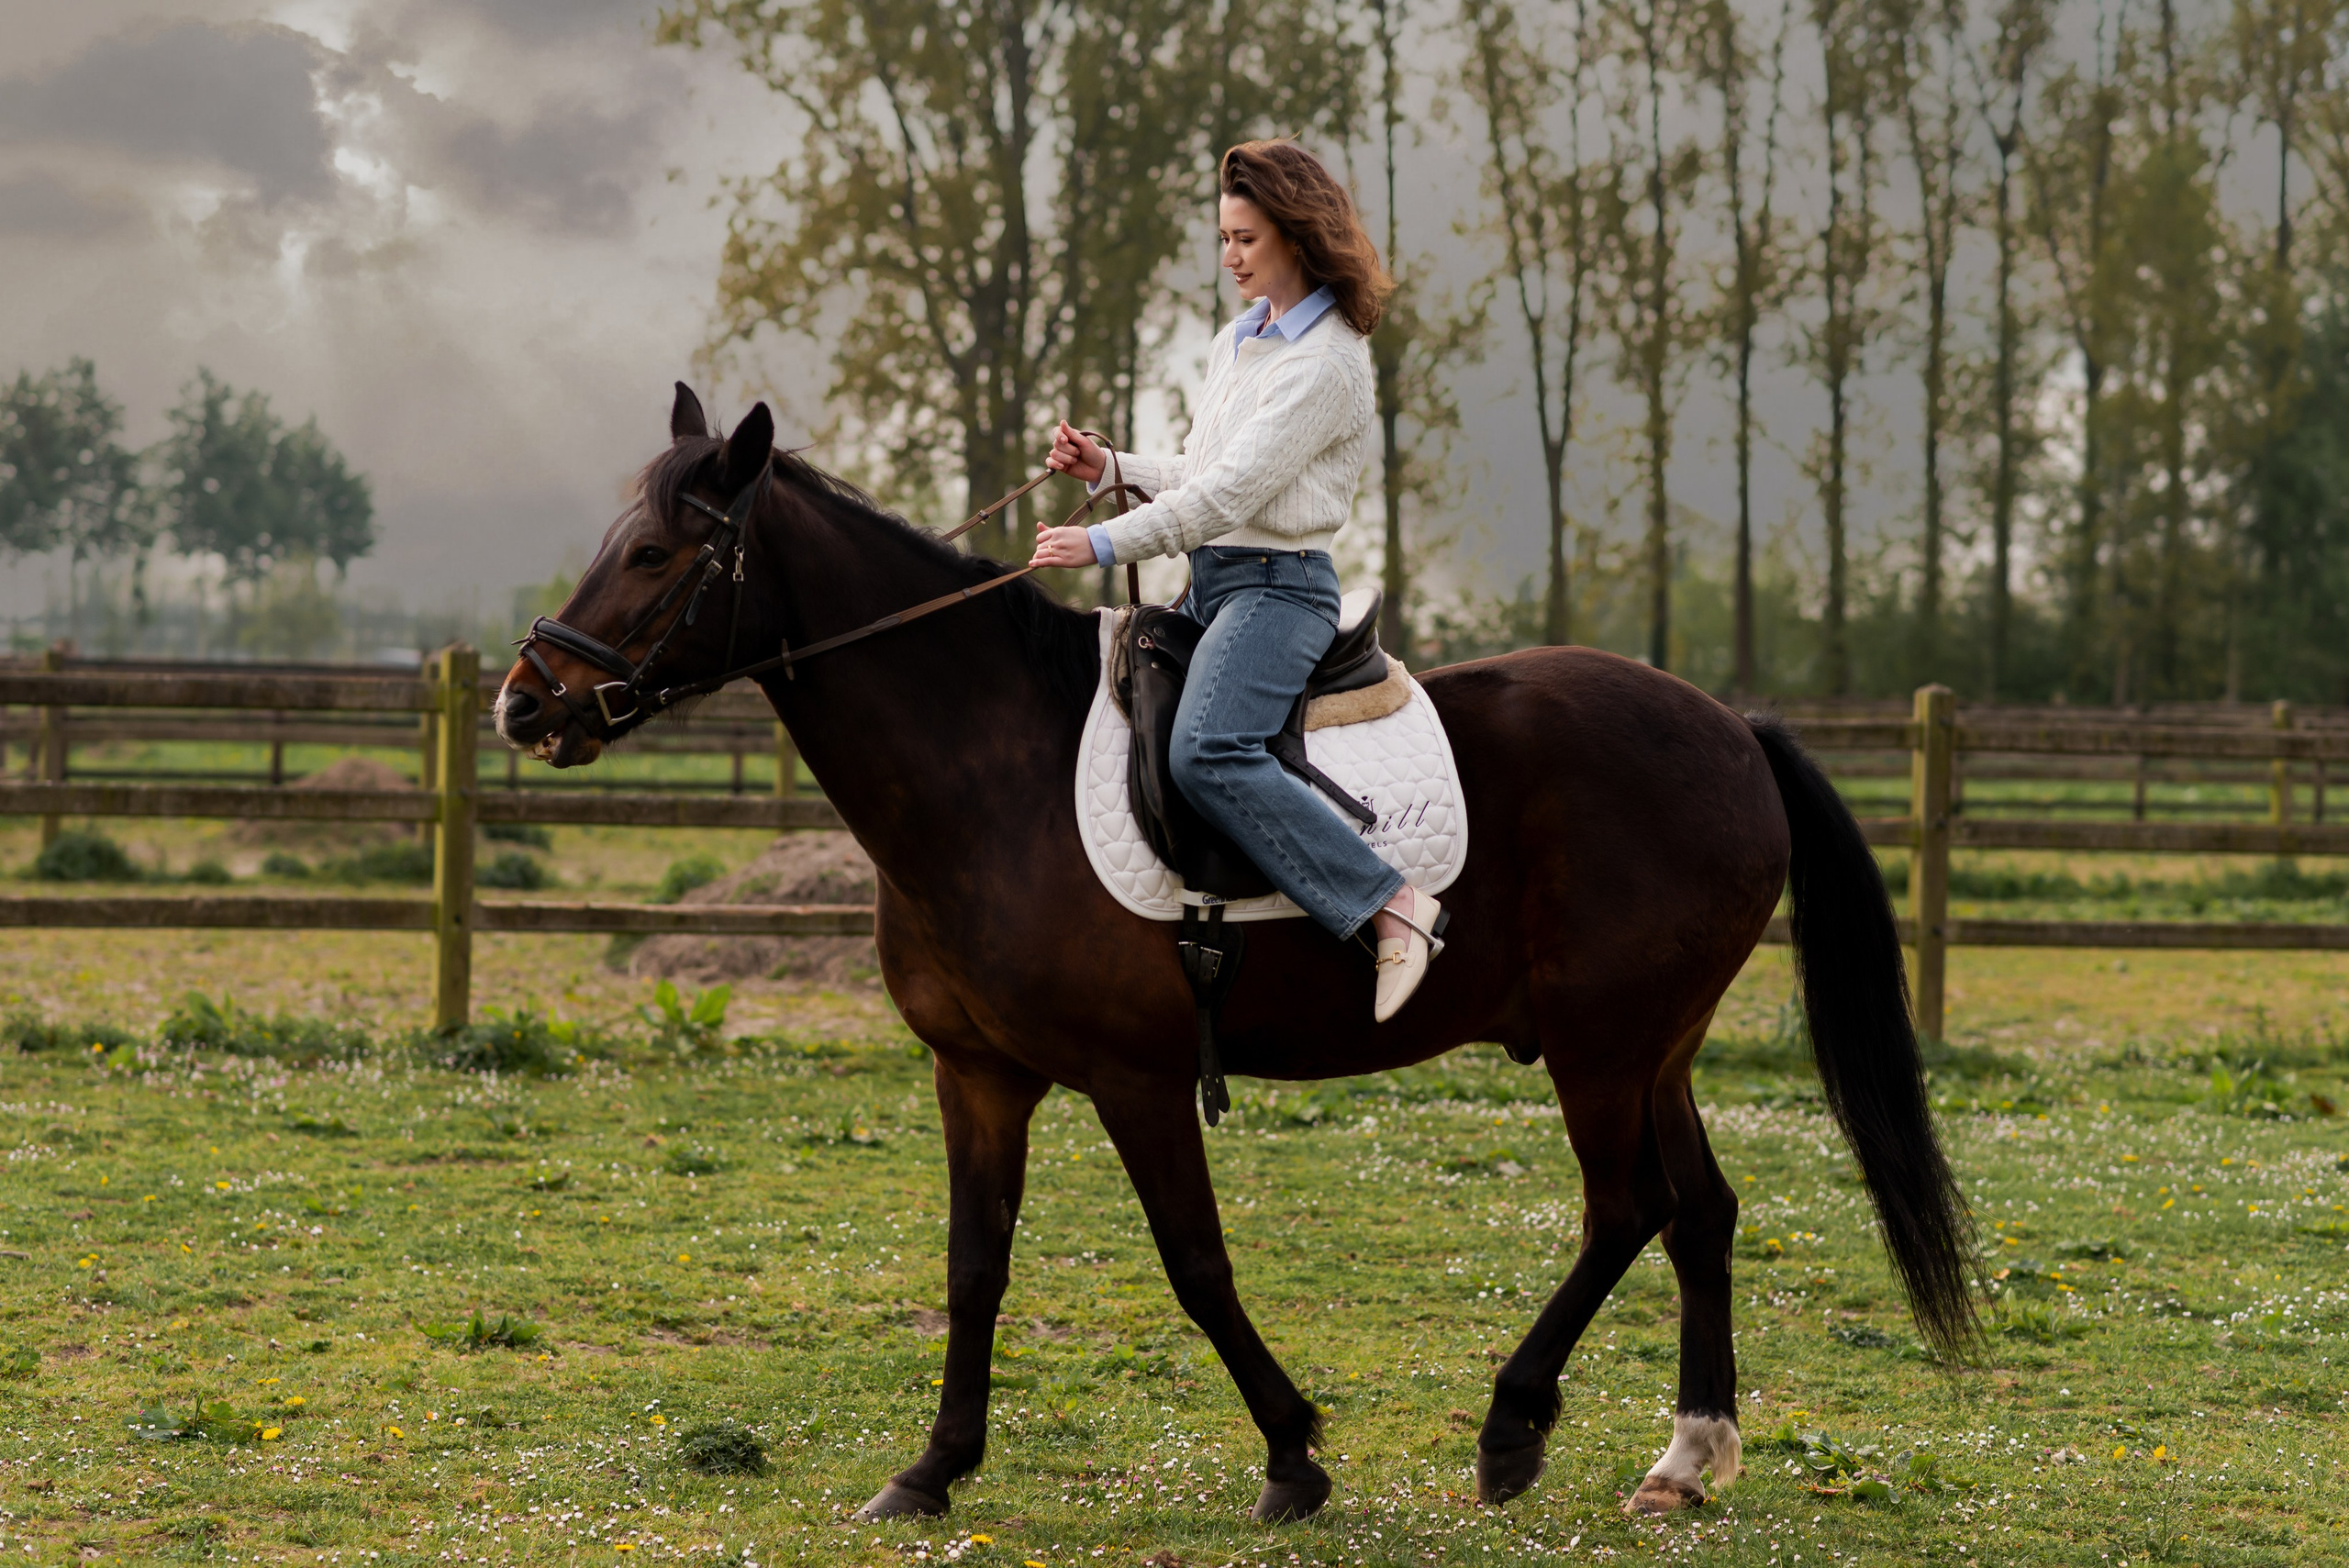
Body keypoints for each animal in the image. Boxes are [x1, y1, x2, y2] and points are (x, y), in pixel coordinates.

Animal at [493, 387, 1976, 1523]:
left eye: (655, 554)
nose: (525, 700)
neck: (994, 774)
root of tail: (1735, 731)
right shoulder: (979, 1075)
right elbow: (975, 1266)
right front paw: (932, 1469)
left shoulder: (1139, 1079)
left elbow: (1196, 1267)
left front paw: (1293, 1454)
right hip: (1651, 1045)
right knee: (1701, 1210)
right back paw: (1687, 1455)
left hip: (1599, 1047)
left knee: (1628, 1211)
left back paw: (1513, 1426)